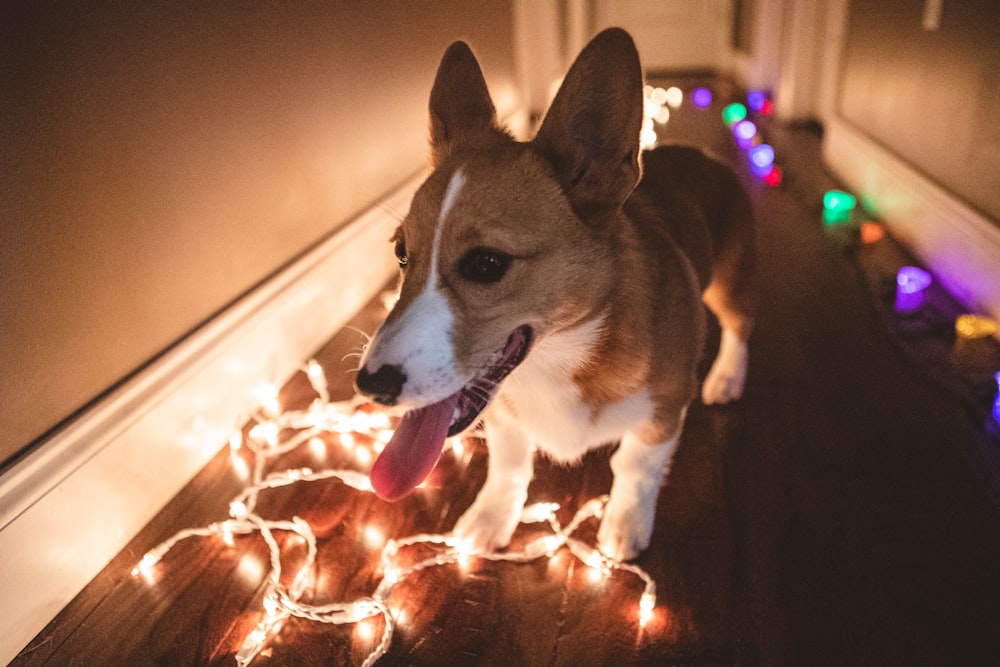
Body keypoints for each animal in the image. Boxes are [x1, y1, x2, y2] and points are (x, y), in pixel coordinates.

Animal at [356, 28, 752, 560]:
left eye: (487, 263)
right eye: (401, 253)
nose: (368, 386)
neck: (561, 356)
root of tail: (703, 155)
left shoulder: (664, 410)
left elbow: (636, 468)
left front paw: (625, 525)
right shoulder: (504, 415)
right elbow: (508, 464)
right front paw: (491, 517)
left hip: (731, 285)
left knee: (740, 325)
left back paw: (727, 377)